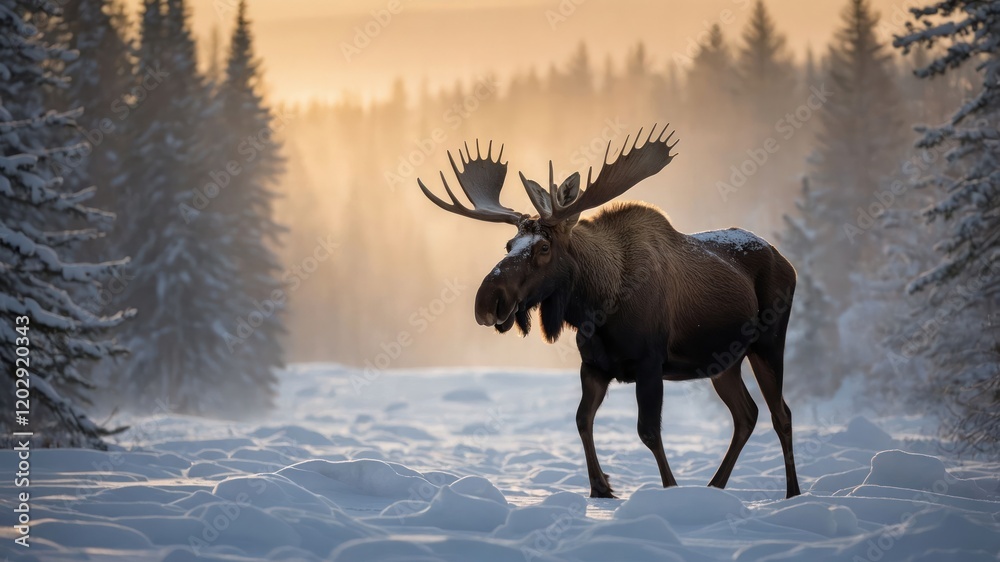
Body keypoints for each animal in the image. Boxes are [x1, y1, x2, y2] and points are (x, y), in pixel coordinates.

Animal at [417, 124, 801, 499]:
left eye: (544, 247)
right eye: (509, 244)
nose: (487, 301)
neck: (596, 307)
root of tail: (788, 263)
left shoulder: (649, 363)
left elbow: (648, 431)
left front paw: (670, 491)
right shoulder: (594, 366)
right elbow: (582, 420)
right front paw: (601, 487)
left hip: (768, 342)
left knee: (780, 413)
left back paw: (792, 493)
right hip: (723, 361)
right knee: (746, 415)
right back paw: (714, 487)